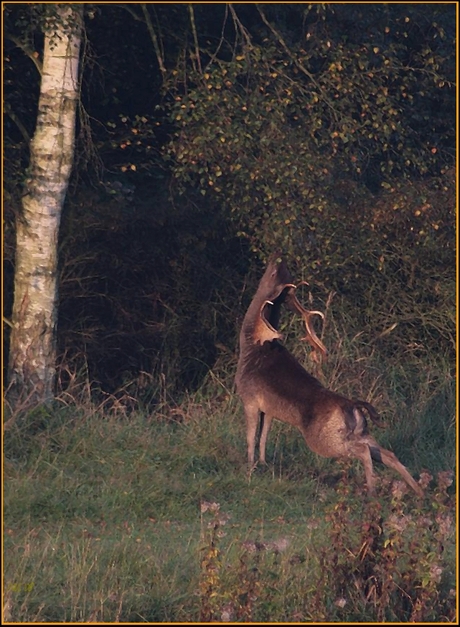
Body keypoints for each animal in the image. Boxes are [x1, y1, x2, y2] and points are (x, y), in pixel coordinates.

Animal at [237, 255, 424, 496]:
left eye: (272, 274)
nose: (278, 258)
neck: (251, 347)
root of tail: (353, 406)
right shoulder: (268, 409)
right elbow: (263, 438)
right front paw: (262, 464)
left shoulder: (249, 397)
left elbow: (251, 437)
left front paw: (249, 467)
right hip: (361, 432)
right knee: (387, 453)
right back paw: (418, 491)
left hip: (325, 439)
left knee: (363, 452)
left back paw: (372, 491)